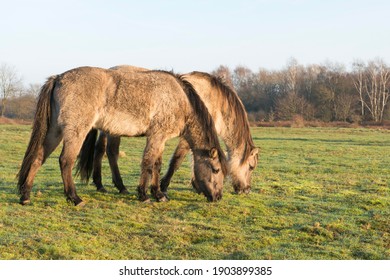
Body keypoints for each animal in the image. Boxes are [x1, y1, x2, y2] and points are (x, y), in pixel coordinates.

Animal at [16, 66, 227, 205]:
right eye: (216, 170)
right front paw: (144, 195)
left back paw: (25, 196)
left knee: (38, 157)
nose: (218, 197)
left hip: (55, 132)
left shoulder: (160, 138)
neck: (179, 99)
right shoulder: (157, 136)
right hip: (76, 131)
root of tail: (58, 78)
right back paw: (75, 198)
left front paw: (158, 194)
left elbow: (157, 165)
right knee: (65, 161)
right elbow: (148, 163)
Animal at [77, 65, 258, 197]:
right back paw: (118, 186)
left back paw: (101, 184)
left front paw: (195, 185)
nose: (246, 190)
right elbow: (177, 160)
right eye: (251, 167)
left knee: (100, 150)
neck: (212, 100)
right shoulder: (187, 137)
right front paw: (163, 187)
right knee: (111, 152)